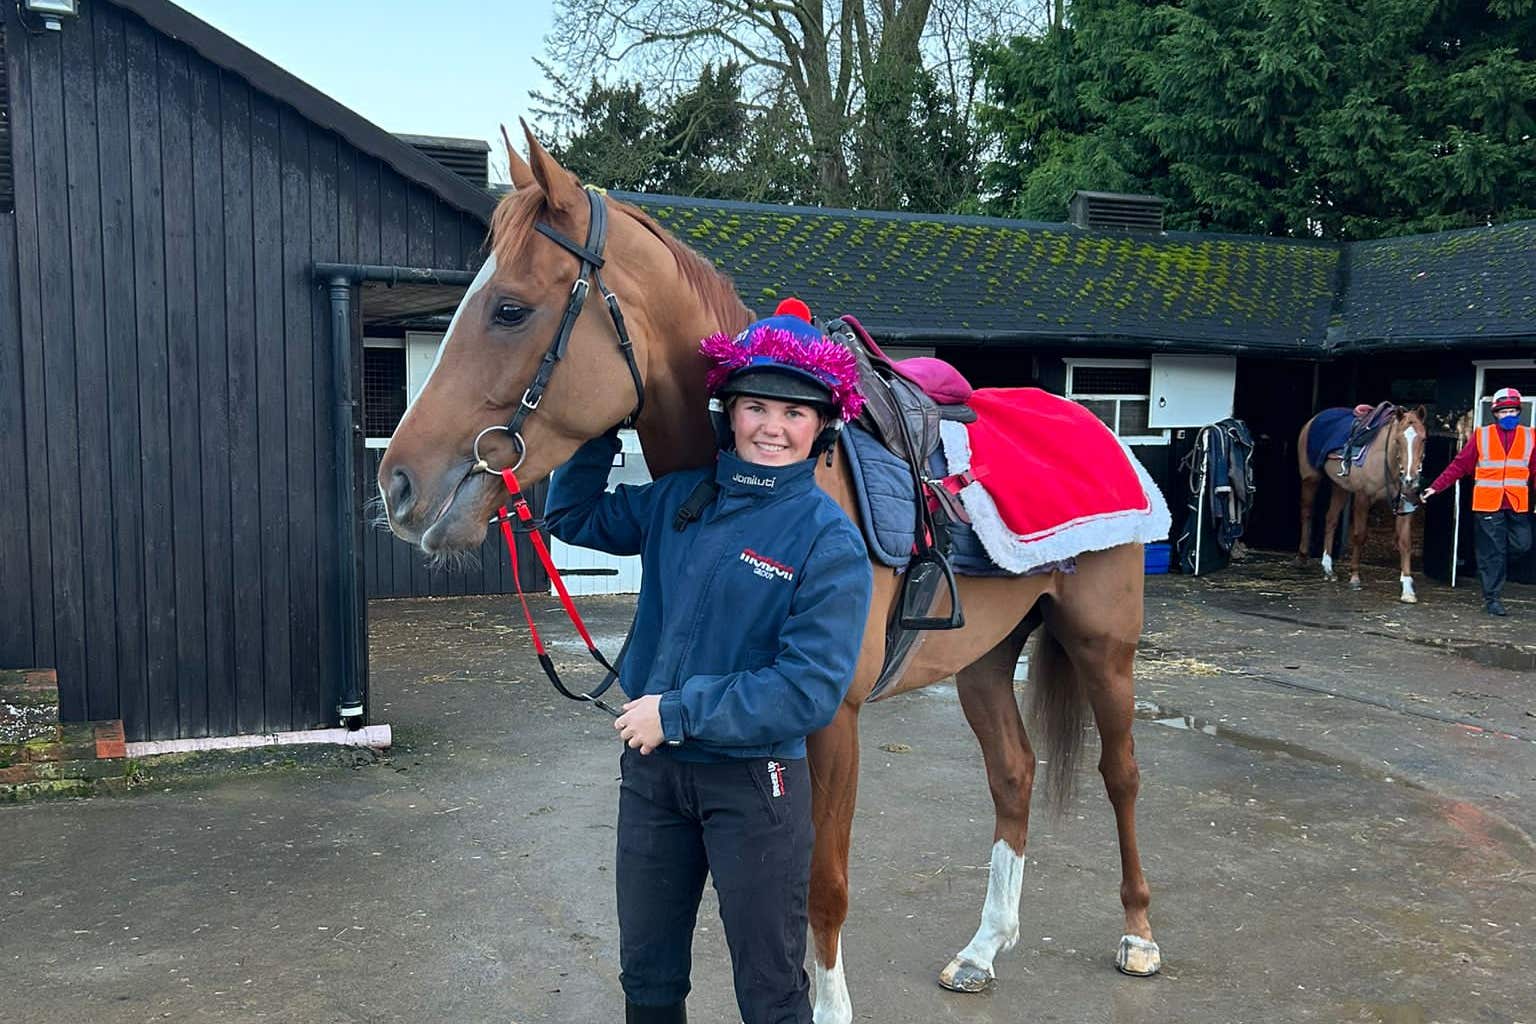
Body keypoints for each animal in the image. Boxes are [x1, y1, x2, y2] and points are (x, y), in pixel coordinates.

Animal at [377, 132, 1155, 1019]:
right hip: (986, 660)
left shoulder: (831, 720)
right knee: (1014, 777)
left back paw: (1139, 935)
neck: (765, 482)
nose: (397, 485)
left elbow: (822, 885)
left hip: (1102, 647)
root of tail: (1097, 425)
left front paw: (830, 1007)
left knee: (1122, 775)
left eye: (509, 308)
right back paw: (983, 950)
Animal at [1296, 405, 1425, 604]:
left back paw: (1328, 568)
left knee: (1331, 519)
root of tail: (1315, 418)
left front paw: (1407, 590)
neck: (1387, 460)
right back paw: (1302, 556)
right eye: (1398, 440)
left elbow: (1405, 542)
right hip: (1311, 478)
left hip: (1340, 486)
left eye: (1423, 438)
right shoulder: (1363, 497)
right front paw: (1355, 576)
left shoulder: (1405, 503)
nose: (1411, 479)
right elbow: (1359, 535)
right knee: (1307, 512)